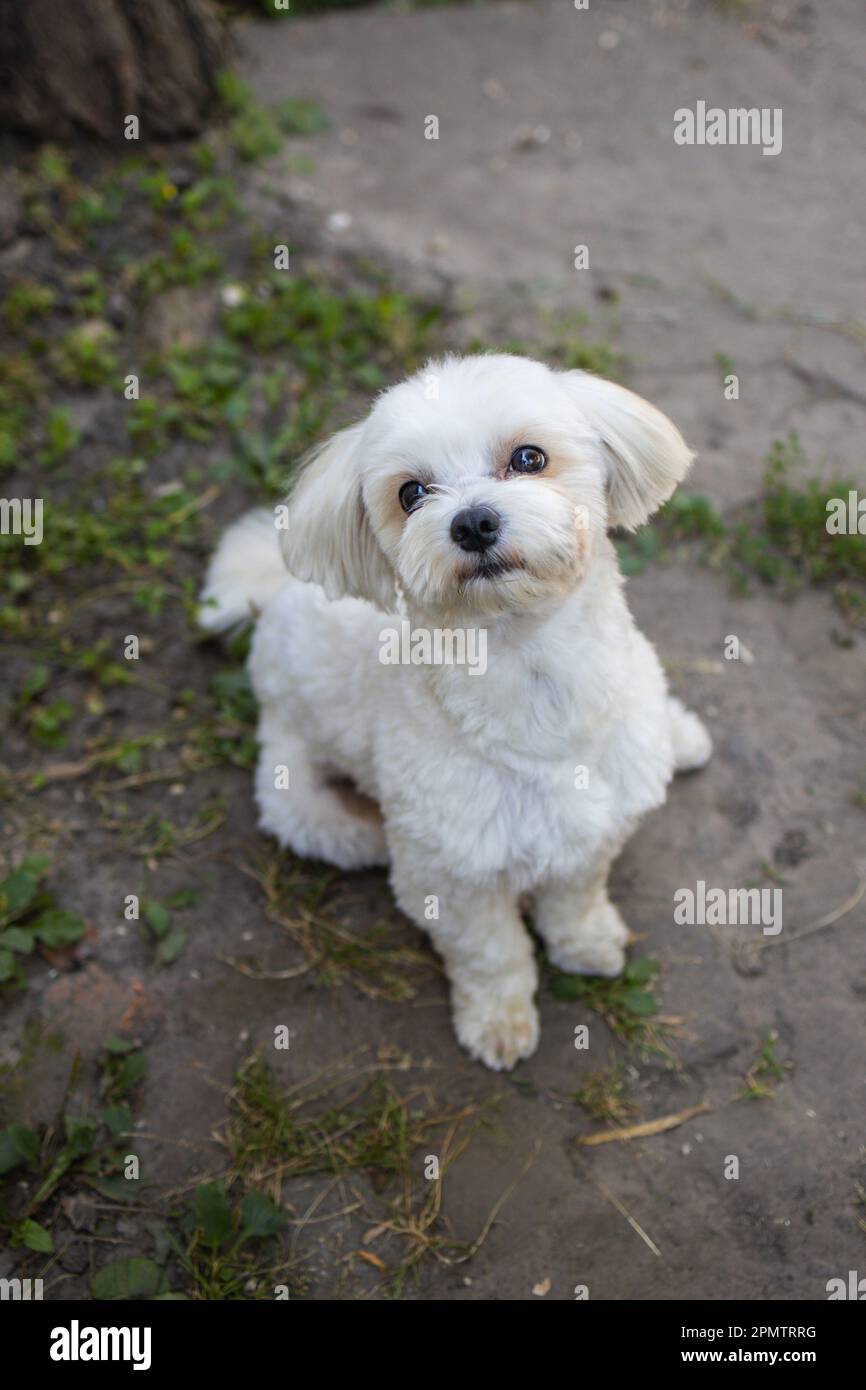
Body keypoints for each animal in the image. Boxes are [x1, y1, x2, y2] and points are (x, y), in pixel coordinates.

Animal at [201, 353, 711, 1067]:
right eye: (411, 493)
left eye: (528, 458)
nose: (472, 523)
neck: (533, 669)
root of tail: (276, 600)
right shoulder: (451, 877)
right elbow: (492, 953)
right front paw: (499, 1020)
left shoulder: (596, 825)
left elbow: (576, 897)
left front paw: (585, 943)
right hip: (296, 793)